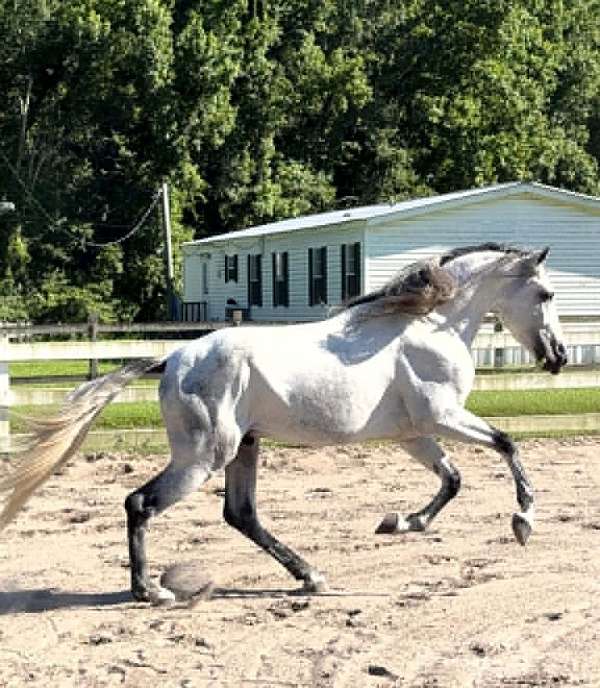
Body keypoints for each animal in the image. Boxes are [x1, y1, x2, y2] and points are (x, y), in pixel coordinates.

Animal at [0, 243, 567, 603]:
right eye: (546, 295)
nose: (559, 356)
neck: (430, 325)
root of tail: (174, 359)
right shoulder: (443, 416)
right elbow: (507, 445)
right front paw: (523, 522)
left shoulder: (414, 434)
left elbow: (452, 480)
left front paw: (400, 522)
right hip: (203, 457)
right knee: (141, 503)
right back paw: (151, 591)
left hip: (244, 447)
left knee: (241, 514)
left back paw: (310, 576)